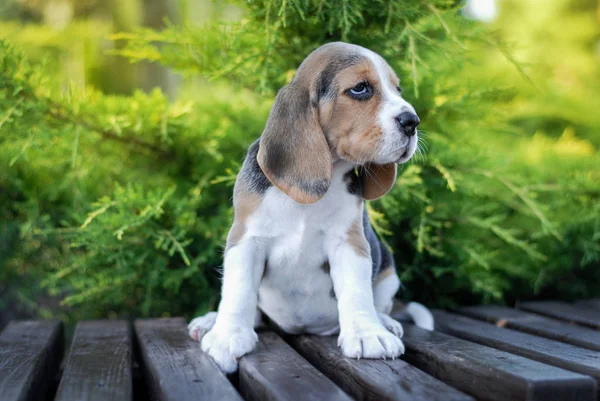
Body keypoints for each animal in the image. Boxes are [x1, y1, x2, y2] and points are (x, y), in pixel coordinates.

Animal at [186, 40, 432, 372]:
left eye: (398, 89)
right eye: (361, 89)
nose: (412, 121)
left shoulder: (349, 243)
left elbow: (356, 291)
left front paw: (368, 335)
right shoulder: (246, 239)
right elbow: (238, 290)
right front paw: (227, 336)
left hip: (388, 271)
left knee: (380, 301)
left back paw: (385, 322)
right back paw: (210, 321)